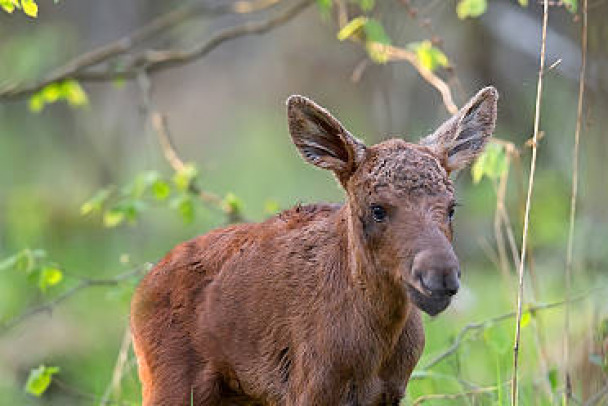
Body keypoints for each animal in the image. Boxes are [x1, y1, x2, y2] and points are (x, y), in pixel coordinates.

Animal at [131, 87, 496, 404]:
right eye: (377, 209)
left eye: (451, 207)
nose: (441, 274)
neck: (377, 344)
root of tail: (141, 288)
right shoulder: (312, 390)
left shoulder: (390, 393)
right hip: (170, 385)